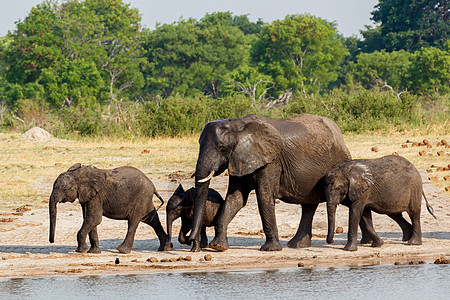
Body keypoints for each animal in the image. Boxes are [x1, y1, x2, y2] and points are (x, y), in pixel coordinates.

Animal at [188, 113, 354, 251]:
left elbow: (264, 196)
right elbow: (236, 199)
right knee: (308, 205)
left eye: (222, 147)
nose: (191, 241)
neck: (238, 125)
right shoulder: (238, 158)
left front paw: (270, 249)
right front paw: (218, 247)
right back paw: (297, 245)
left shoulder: (272, 161)